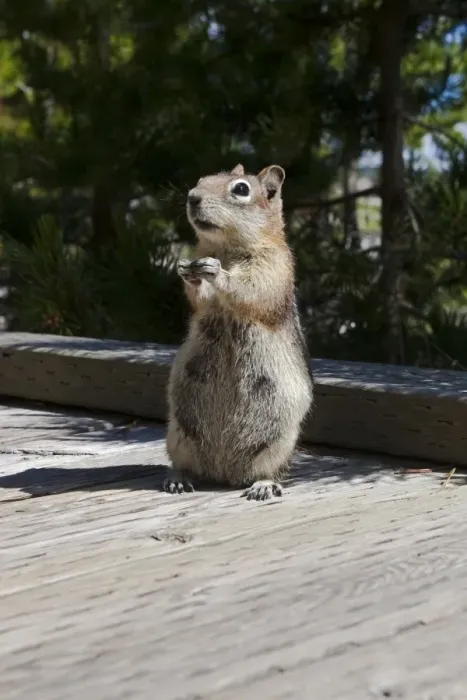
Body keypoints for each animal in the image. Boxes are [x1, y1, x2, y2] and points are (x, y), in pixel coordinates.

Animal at [164, 163, 313, 501]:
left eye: (241, 189)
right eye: (201, 180)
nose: (193, 197)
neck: (225, 248)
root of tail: (224, 472)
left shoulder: (274, 266)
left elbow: (250, 289)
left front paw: (217, 273)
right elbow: (200, 301)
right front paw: (188, 273)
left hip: (279, 442)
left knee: (266, 470)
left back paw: (263, 485)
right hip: (178, 435)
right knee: (186, 465)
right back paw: (179, 479)